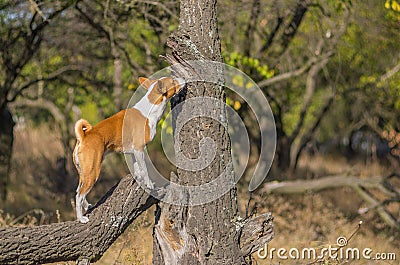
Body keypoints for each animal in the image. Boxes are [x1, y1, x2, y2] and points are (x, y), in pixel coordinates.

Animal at [72, 75, 185, 222]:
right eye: (173, 81)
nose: (183, 78)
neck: (150, 109)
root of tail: (83, 137)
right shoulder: (139, 149)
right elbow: (145, 170)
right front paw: (149, 184)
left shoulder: (133, 152)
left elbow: (138, 170)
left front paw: (139, 180)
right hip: (93, 171)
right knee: (79, 195)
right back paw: (81, 218)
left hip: (84, 172)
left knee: (79, 191)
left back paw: (87, 206)